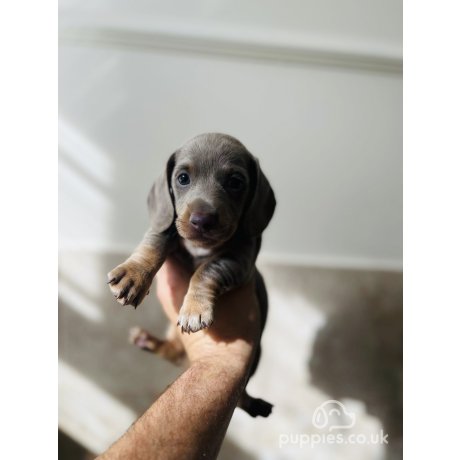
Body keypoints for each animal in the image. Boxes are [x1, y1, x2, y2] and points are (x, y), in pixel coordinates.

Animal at [106, 132, 274, 416]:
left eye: (236, 182)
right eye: (183, 178)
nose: (202, 220)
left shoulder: (239, 260)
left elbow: (206, 270)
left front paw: (195, 308)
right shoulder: (167, 225)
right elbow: (155, 242)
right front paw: (133, 275)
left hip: (257, 354)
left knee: (241, 397)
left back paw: (255, 404)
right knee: (172, 351)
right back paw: (147, 341)